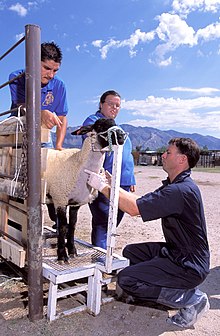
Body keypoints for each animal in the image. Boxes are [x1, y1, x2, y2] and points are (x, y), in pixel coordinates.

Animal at [44, 118, 126, 262]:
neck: (78, 164)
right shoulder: (60, 199)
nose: (121, 136)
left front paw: (72, 250)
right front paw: (62, 255)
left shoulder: (75, 204)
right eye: (99, 125)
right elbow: (63, 227)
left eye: (115, 122)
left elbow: (72, 226)